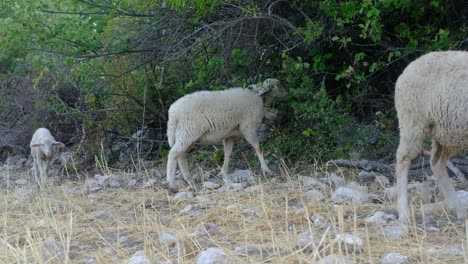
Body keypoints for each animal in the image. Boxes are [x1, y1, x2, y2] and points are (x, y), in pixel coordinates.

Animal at [394, 50, 468, 222]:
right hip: (412, 119)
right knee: (403, 159)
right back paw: (404, 213)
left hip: (447, 132)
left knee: (436, 163)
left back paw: (457, 208)